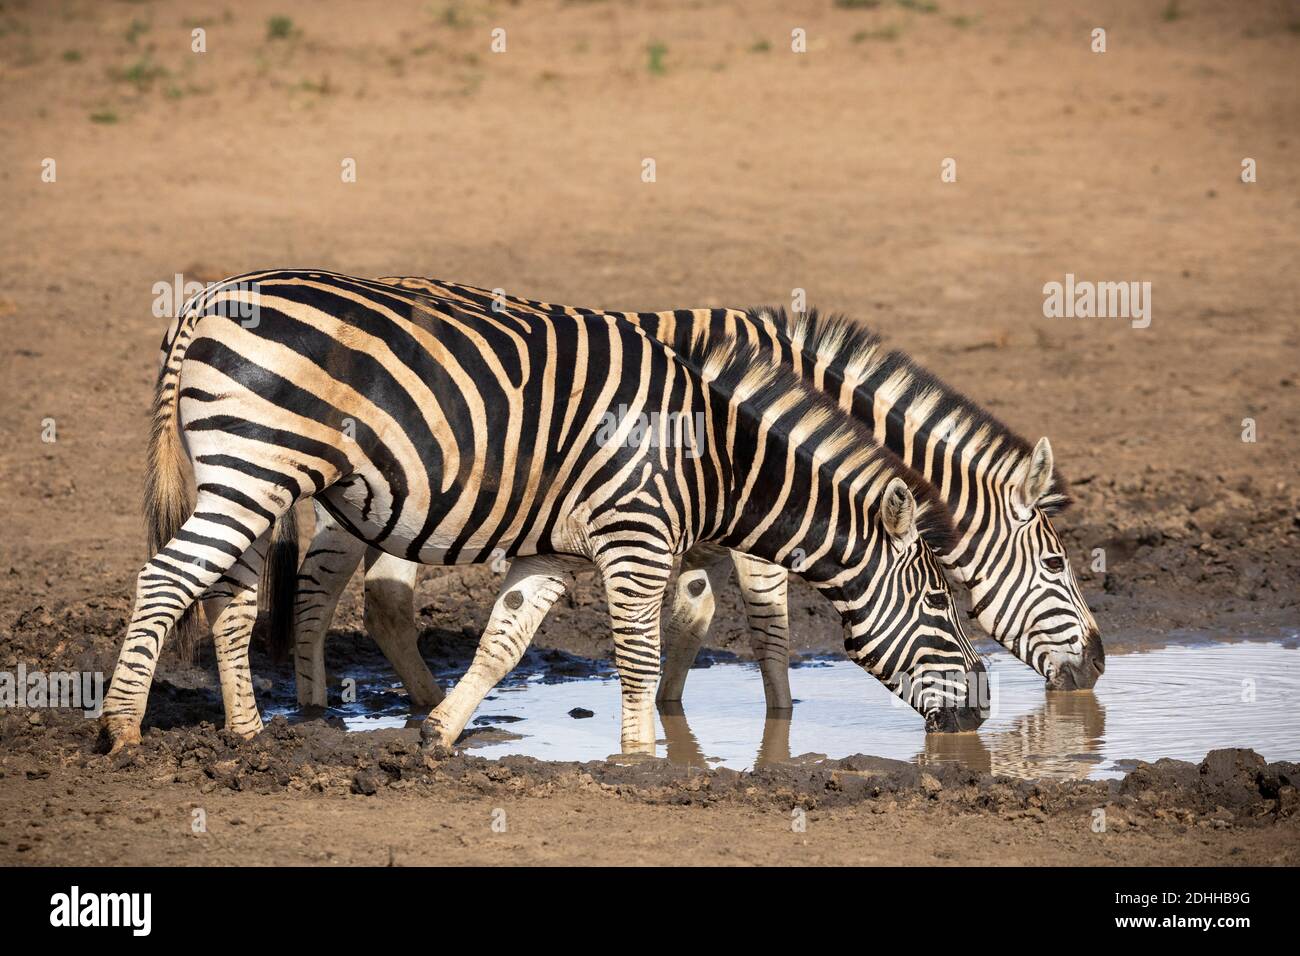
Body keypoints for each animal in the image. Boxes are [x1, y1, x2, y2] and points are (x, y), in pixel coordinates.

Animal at [104, 269, 982, 754]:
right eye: (943, 606)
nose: (982, 709)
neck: (716, 460)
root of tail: (207, 301)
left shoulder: (552, 553)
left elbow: (505, 642)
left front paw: (439, 732)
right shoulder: (635, 542)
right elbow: (639, 658)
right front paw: (642, 759)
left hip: (252, 475)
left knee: (228, 596)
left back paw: (248, 734)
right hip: (257, 465)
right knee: (166, 580)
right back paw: (121, 728)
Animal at [292, 274, 1097, 717]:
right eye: (1059, 567)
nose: (1096, 667)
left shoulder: (699, 523)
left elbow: (692, 615)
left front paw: (672, 713)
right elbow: (768, 625)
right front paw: (781, 720)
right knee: (326, 587)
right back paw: (320, 709)